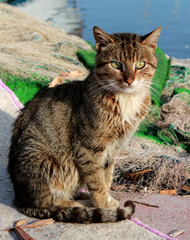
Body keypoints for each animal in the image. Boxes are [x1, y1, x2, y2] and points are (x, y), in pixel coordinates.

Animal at [8, 25, 161, 223]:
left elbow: (106, 177)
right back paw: (81, 204)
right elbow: (97, 180)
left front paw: (106, 199)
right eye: (116, 64)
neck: (125, 99)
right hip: (40, 159)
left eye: (140, 64)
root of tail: (19, 199)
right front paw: (103, 205)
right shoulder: (88, 149)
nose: (129, 80)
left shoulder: (112, 149)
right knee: (50, 202)